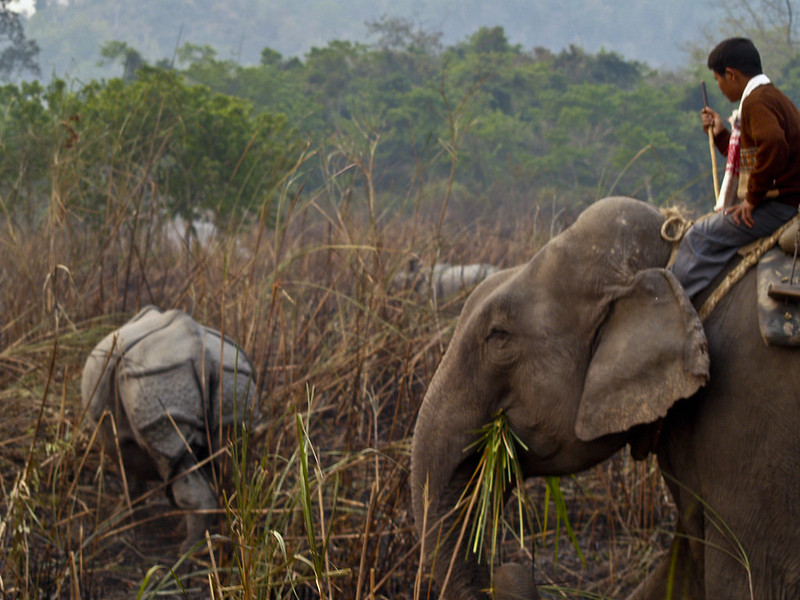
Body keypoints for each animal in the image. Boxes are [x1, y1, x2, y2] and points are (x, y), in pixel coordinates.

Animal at [81, 304, 258, 552]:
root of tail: (201, 355)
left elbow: (128, 473)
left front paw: (125, 513)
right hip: (233, 379)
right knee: (228, 456)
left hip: (157, 377)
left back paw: (187, 550)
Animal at [410, 196, 800, 596]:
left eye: (499, 337)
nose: (509, 567)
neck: (673, 262)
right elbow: (683, 570)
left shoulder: (750, 417)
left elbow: (746, 580)